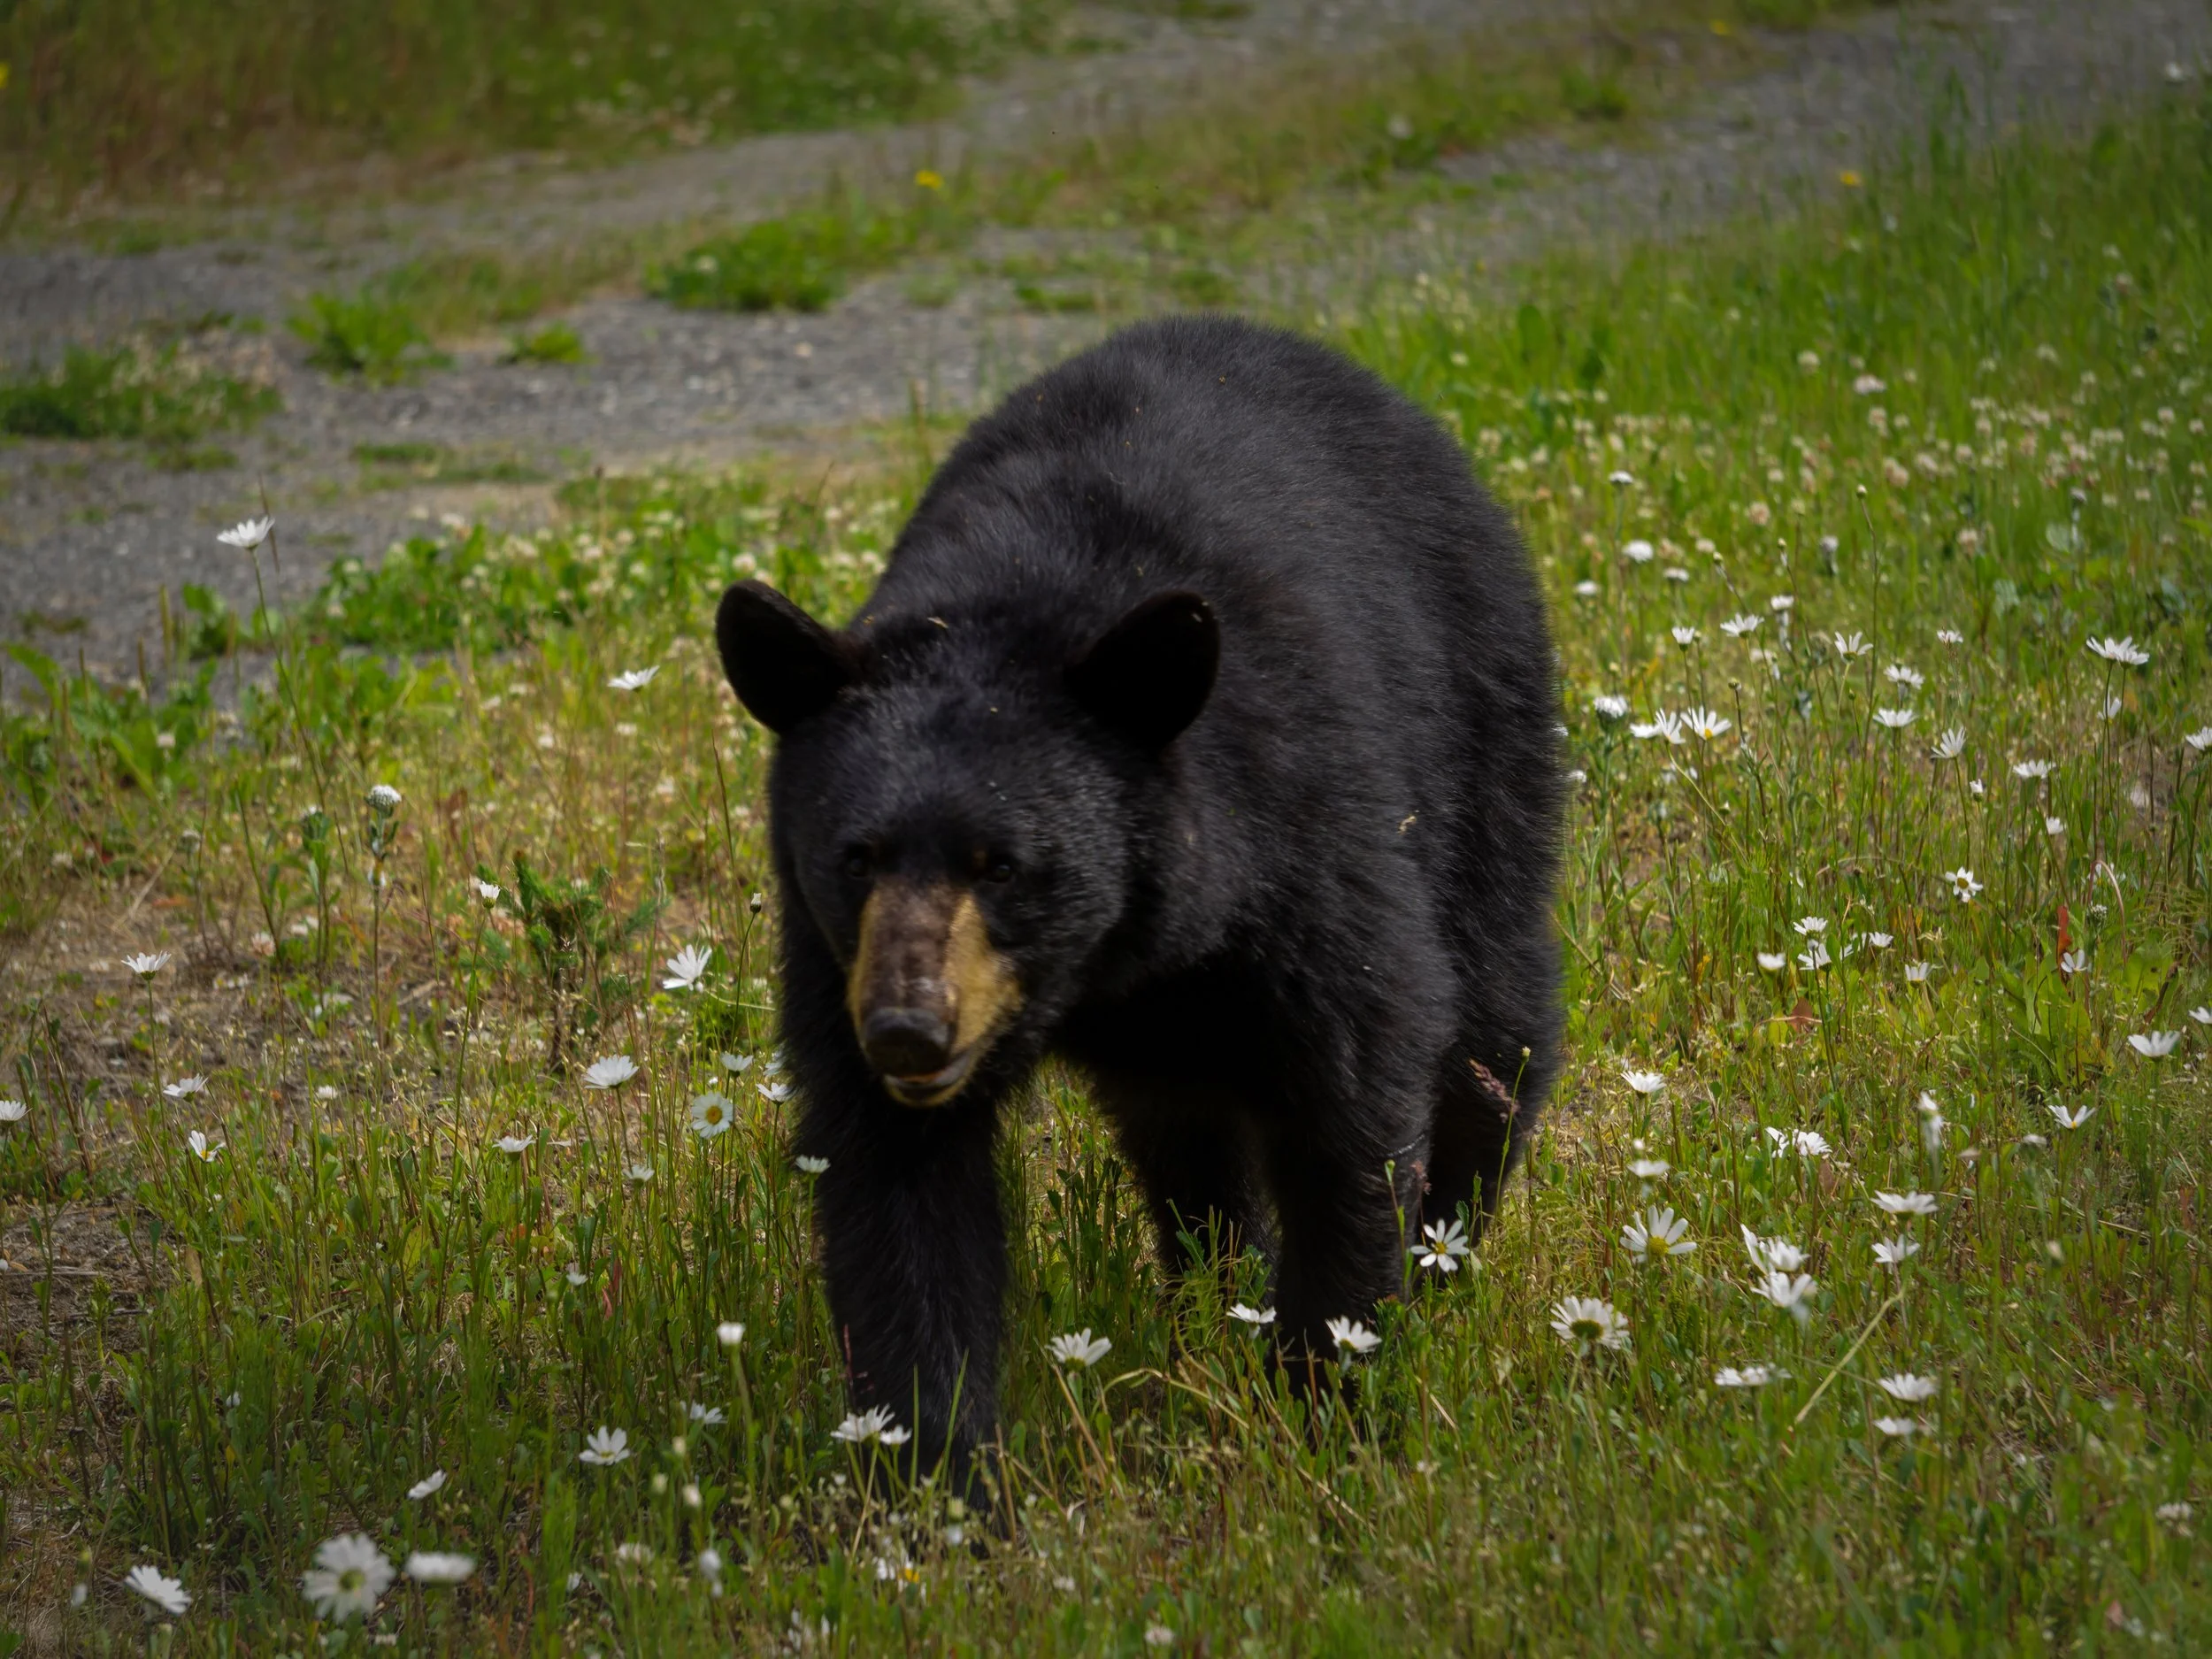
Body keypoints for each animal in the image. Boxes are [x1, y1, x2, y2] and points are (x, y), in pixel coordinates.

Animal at [714, 314, 1562, 1476]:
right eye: (857, 856)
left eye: (1002, 862)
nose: (907, 1030)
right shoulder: (831, 957)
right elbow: (897, 1195)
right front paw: (938, 1471)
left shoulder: (1300, 834)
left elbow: (1353, 1097)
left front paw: (1326, 1400)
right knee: (1187, 1147)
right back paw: (1209, 1296)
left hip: (1484, 731)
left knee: (1493, 1032)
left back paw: (1445, 1257)